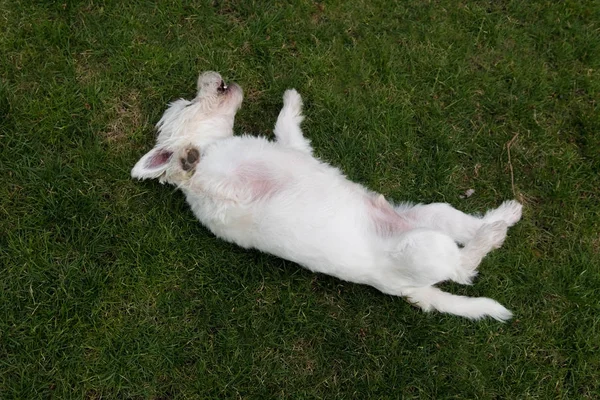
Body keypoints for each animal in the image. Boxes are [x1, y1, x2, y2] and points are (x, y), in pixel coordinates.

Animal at [130, 72, 520, 322]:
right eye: (189, 104)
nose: (207, 73)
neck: (215, 145)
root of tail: (414, 290)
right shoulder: (223, 194)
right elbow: (194, 179)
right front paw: (185, 161)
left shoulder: (295, 147)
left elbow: (286, 126)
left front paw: (290, 99)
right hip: (422, 251)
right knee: (464, 267)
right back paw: (493, 233)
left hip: (431, 216)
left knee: (464, 228)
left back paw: (506, 214)